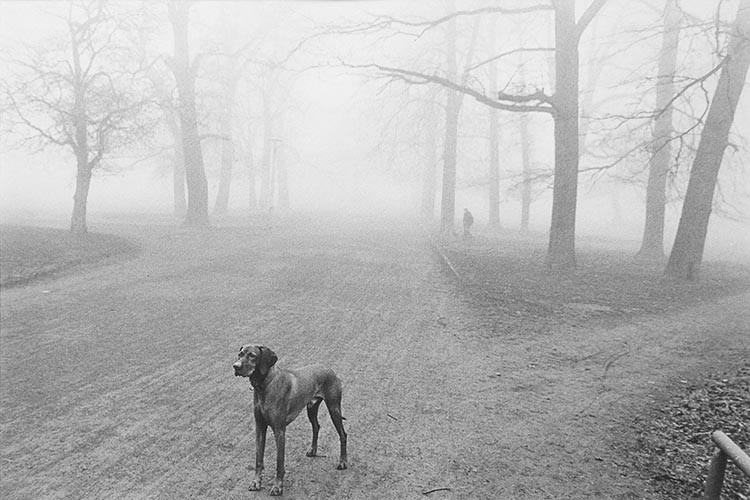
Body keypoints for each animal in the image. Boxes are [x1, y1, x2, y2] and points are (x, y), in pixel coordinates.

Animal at [232, 346, 350, 494]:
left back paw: (343, 462)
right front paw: (256, 482)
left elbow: (279, 462)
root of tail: (330, 370)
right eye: (240, 354)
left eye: (252, 355)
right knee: (316, 426)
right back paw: (313, 450)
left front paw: (277, 486)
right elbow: (258, 459)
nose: (235, 366)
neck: (265, 385)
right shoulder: (260, 428)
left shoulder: (279, 431)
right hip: (311, 408)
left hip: (334, 408)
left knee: (343, 434)